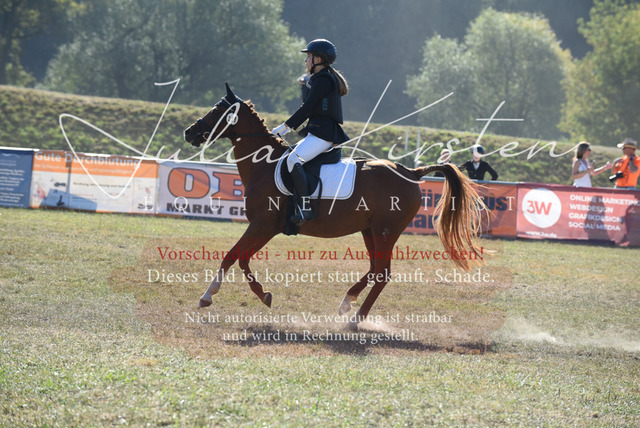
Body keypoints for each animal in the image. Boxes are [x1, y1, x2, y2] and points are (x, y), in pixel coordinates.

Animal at [183, 84, 484, 326]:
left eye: (217, 110)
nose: (189, 133)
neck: (264, 166)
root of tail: (410, 172)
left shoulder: (261, 225)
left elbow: (231, 255)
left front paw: (207, 296)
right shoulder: (266, 227)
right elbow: (242, 258)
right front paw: (264, 295)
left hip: (385, 231)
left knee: (383, 274)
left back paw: (355, 319)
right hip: (370, 230)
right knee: (375, 269)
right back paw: (347, 302)